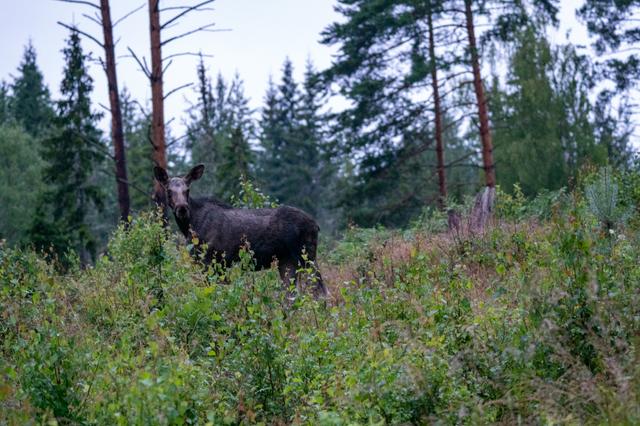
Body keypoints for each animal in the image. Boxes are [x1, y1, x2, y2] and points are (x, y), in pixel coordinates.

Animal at [153, 164, 328, 300]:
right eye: (169, 191)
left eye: (187, 190)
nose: (182, 208)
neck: (190, 225)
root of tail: (316, 224)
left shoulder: (211, 260)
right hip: (288, 261)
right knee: (291, 296)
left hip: (307, 256)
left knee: (321, 292)